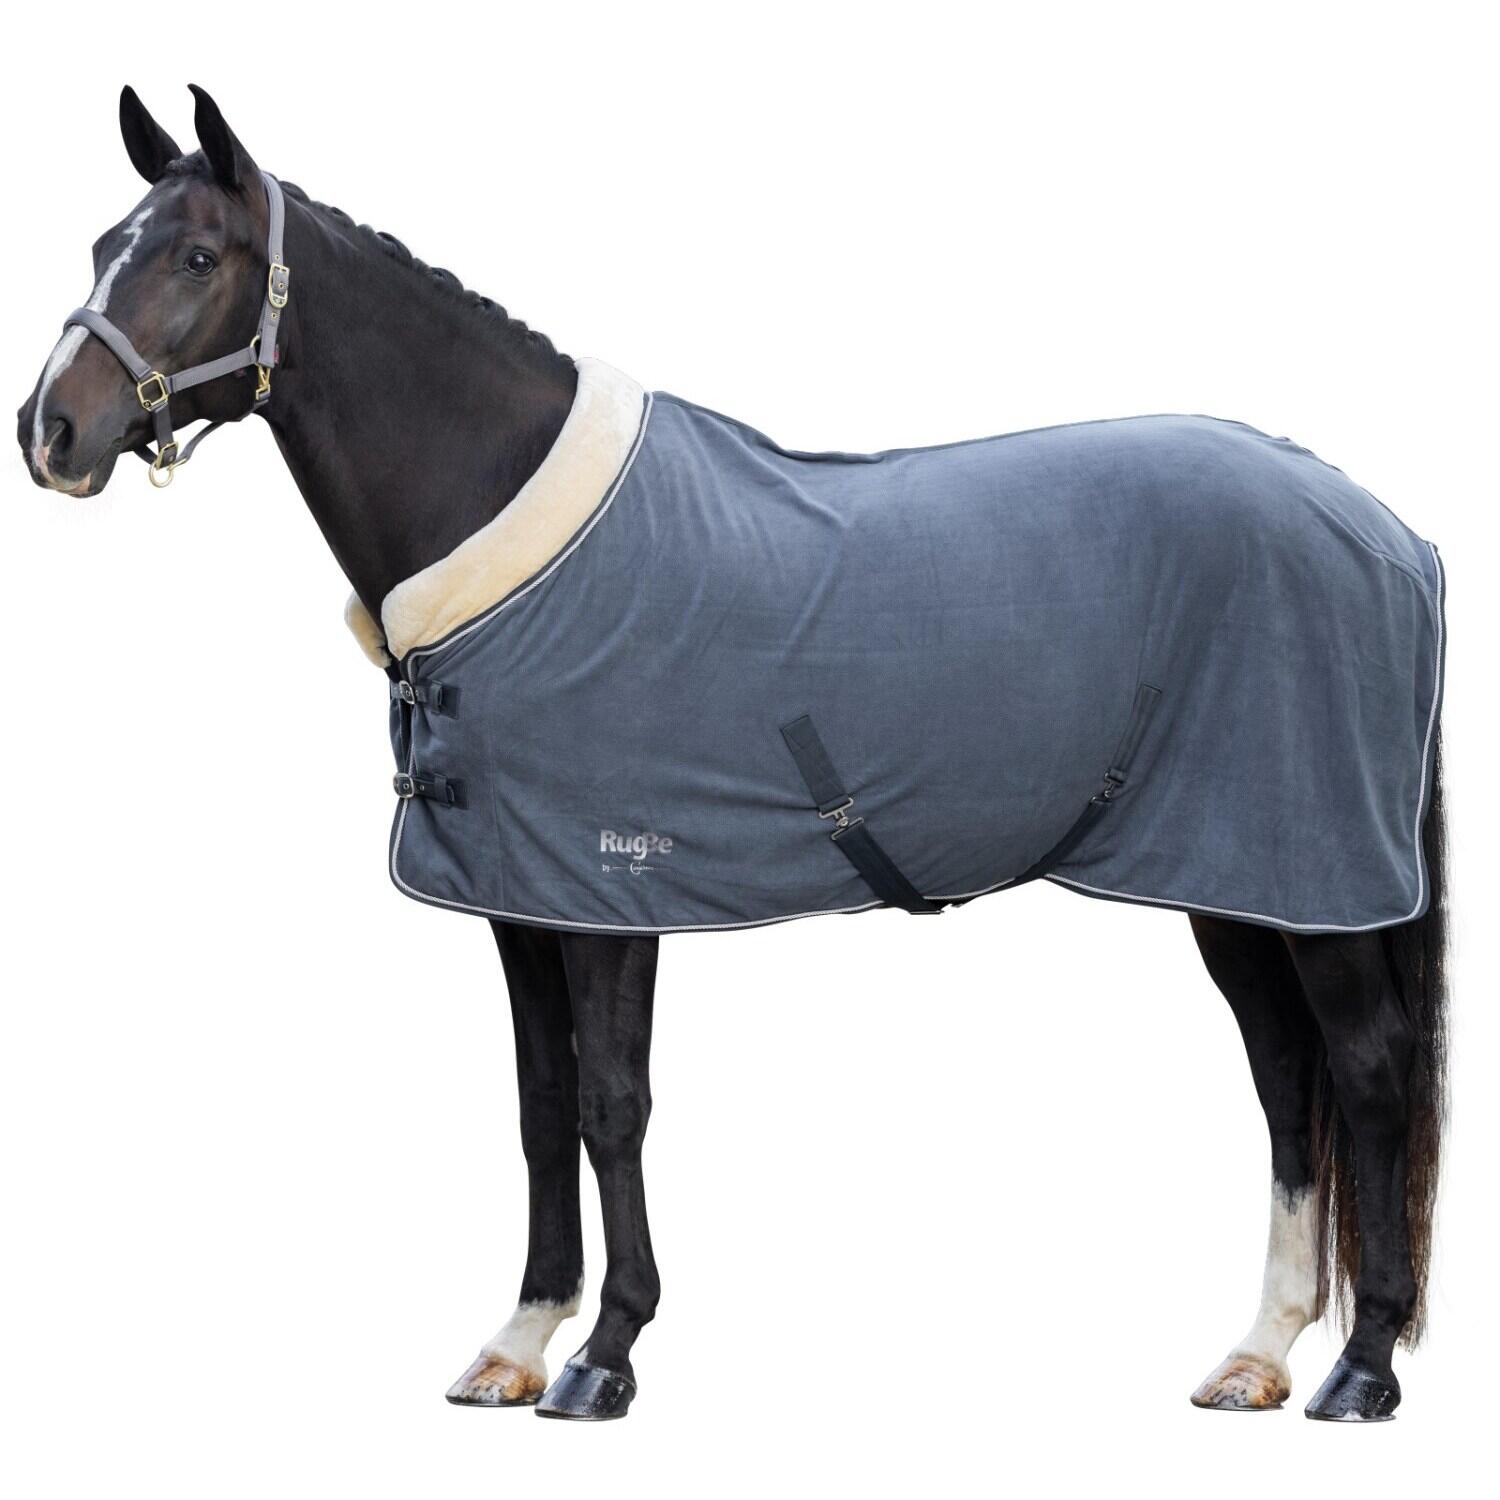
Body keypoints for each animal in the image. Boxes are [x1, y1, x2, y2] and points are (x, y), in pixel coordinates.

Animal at [16, 86, 1448, 1424]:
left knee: (1372, 1077)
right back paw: (1261, 1354)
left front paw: (604, 1355)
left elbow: (612, 1104)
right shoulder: (520, 901)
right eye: (99, 245)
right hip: (1237, 882)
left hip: (1313, 885)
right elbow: (540, 1102)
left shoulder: (609, 895)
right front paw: (519, 1340)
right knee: (1285, 1082)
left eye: (198, 257)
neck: (508, 528)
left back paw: (1361, 1366)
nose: (50, 434)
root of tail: (1392, 533)